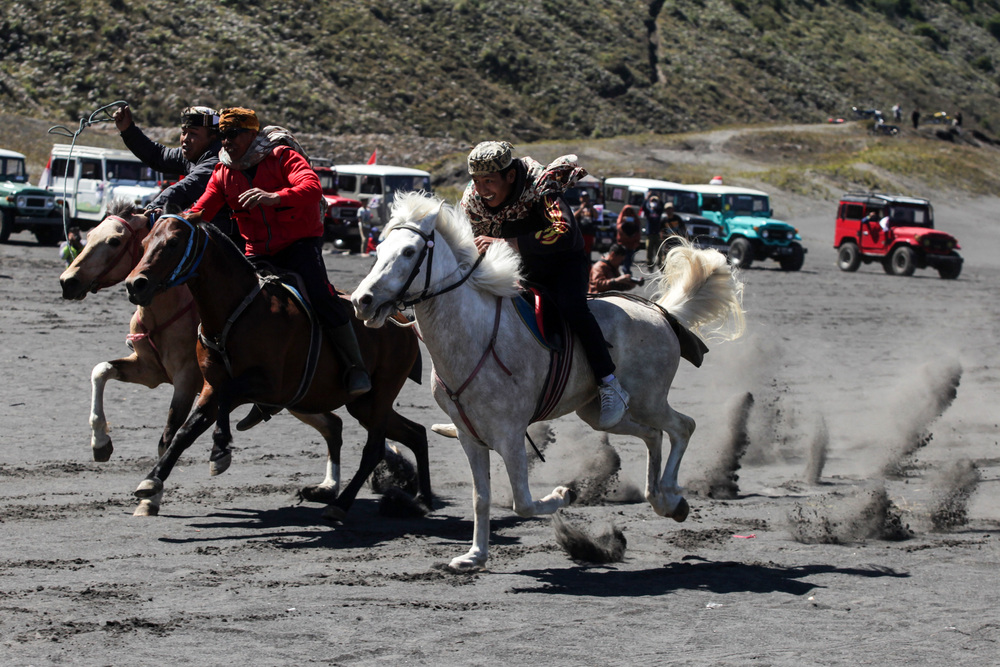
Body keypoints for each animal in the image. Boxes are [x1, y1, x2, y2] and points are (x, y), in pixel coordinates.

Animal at [352, 190, 744, 572]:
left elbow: (523, 503)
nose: (361, 300)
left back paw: (672, 498)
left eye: (409, 252)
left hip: (650, 400)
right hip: (600, 414)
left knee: (682, 427)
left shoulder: (510, 435)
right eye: (379, 250)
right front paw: (475, 556)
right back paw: (661, 499)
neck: (473, 336)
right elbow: (481, 498)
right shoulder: (469, 437)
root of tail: (662, 314)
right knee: (653, 435)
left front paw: (562, 495)